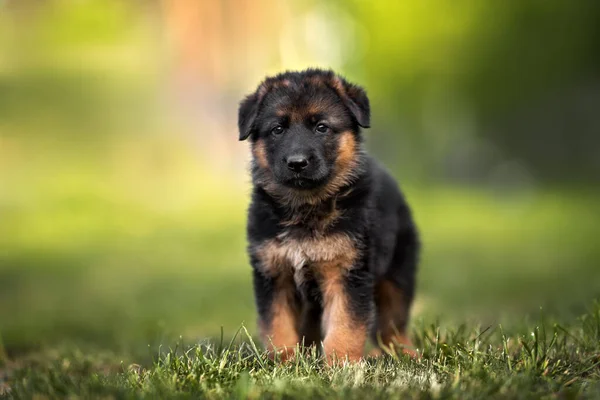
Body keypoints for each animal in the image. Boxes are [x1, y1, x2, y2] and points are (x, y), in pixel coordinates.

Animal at [237, 68, 420, 362]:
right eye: (278, 129)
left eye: (321, 127)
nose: (297, 163)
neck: (306, 207)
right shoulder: (274, 273)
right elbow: (277, 324)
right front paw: (284, 362)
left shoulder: (347, 272)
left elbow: (345, 324)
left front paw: (340, 364)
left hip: (397, 273)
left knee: (392, 322)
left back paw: (403, 353)